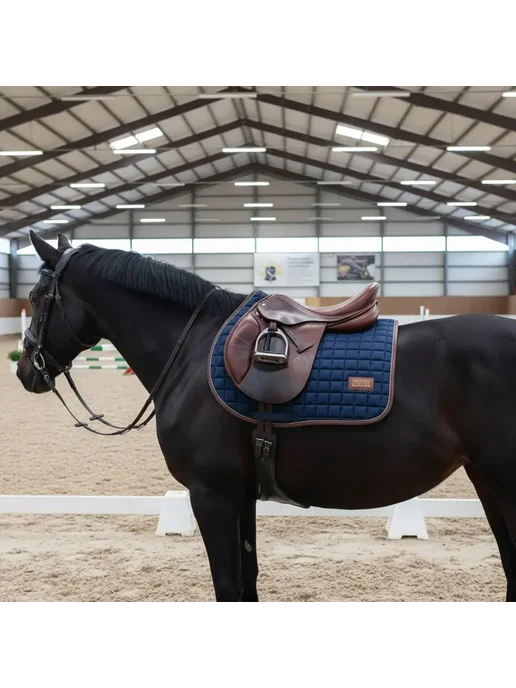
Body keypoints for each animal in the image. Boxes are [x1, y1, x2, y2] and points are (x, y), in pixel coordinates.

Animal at [17, 231, 516, 606]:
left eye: (37, 297)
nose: (25, 370)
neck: (192, 351)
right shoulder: (240, 495)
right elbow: (248, 583)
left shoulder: (211, 495)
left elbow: (228, 589)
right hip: (487, 482)